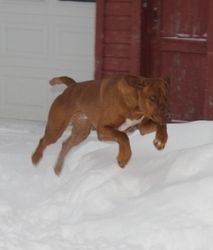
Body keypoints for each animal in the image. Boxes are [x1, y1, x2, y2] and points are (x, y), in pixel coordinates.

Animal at [31, 74, 170, 174]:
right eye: (152, 98)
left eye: (166, 98)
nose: (167, 116)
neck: (134, 105)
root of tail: (72, 86)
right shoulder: (103, 129)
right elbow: (123, 137)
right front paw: (123, 158)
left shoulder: (142, 127)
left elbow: (161, 125)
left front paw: (160, 140)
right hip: (56, 128)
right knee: (43, 140)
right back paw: (35, 158)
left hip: (81, 133)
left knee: (66, 145)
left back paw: (58, 168)